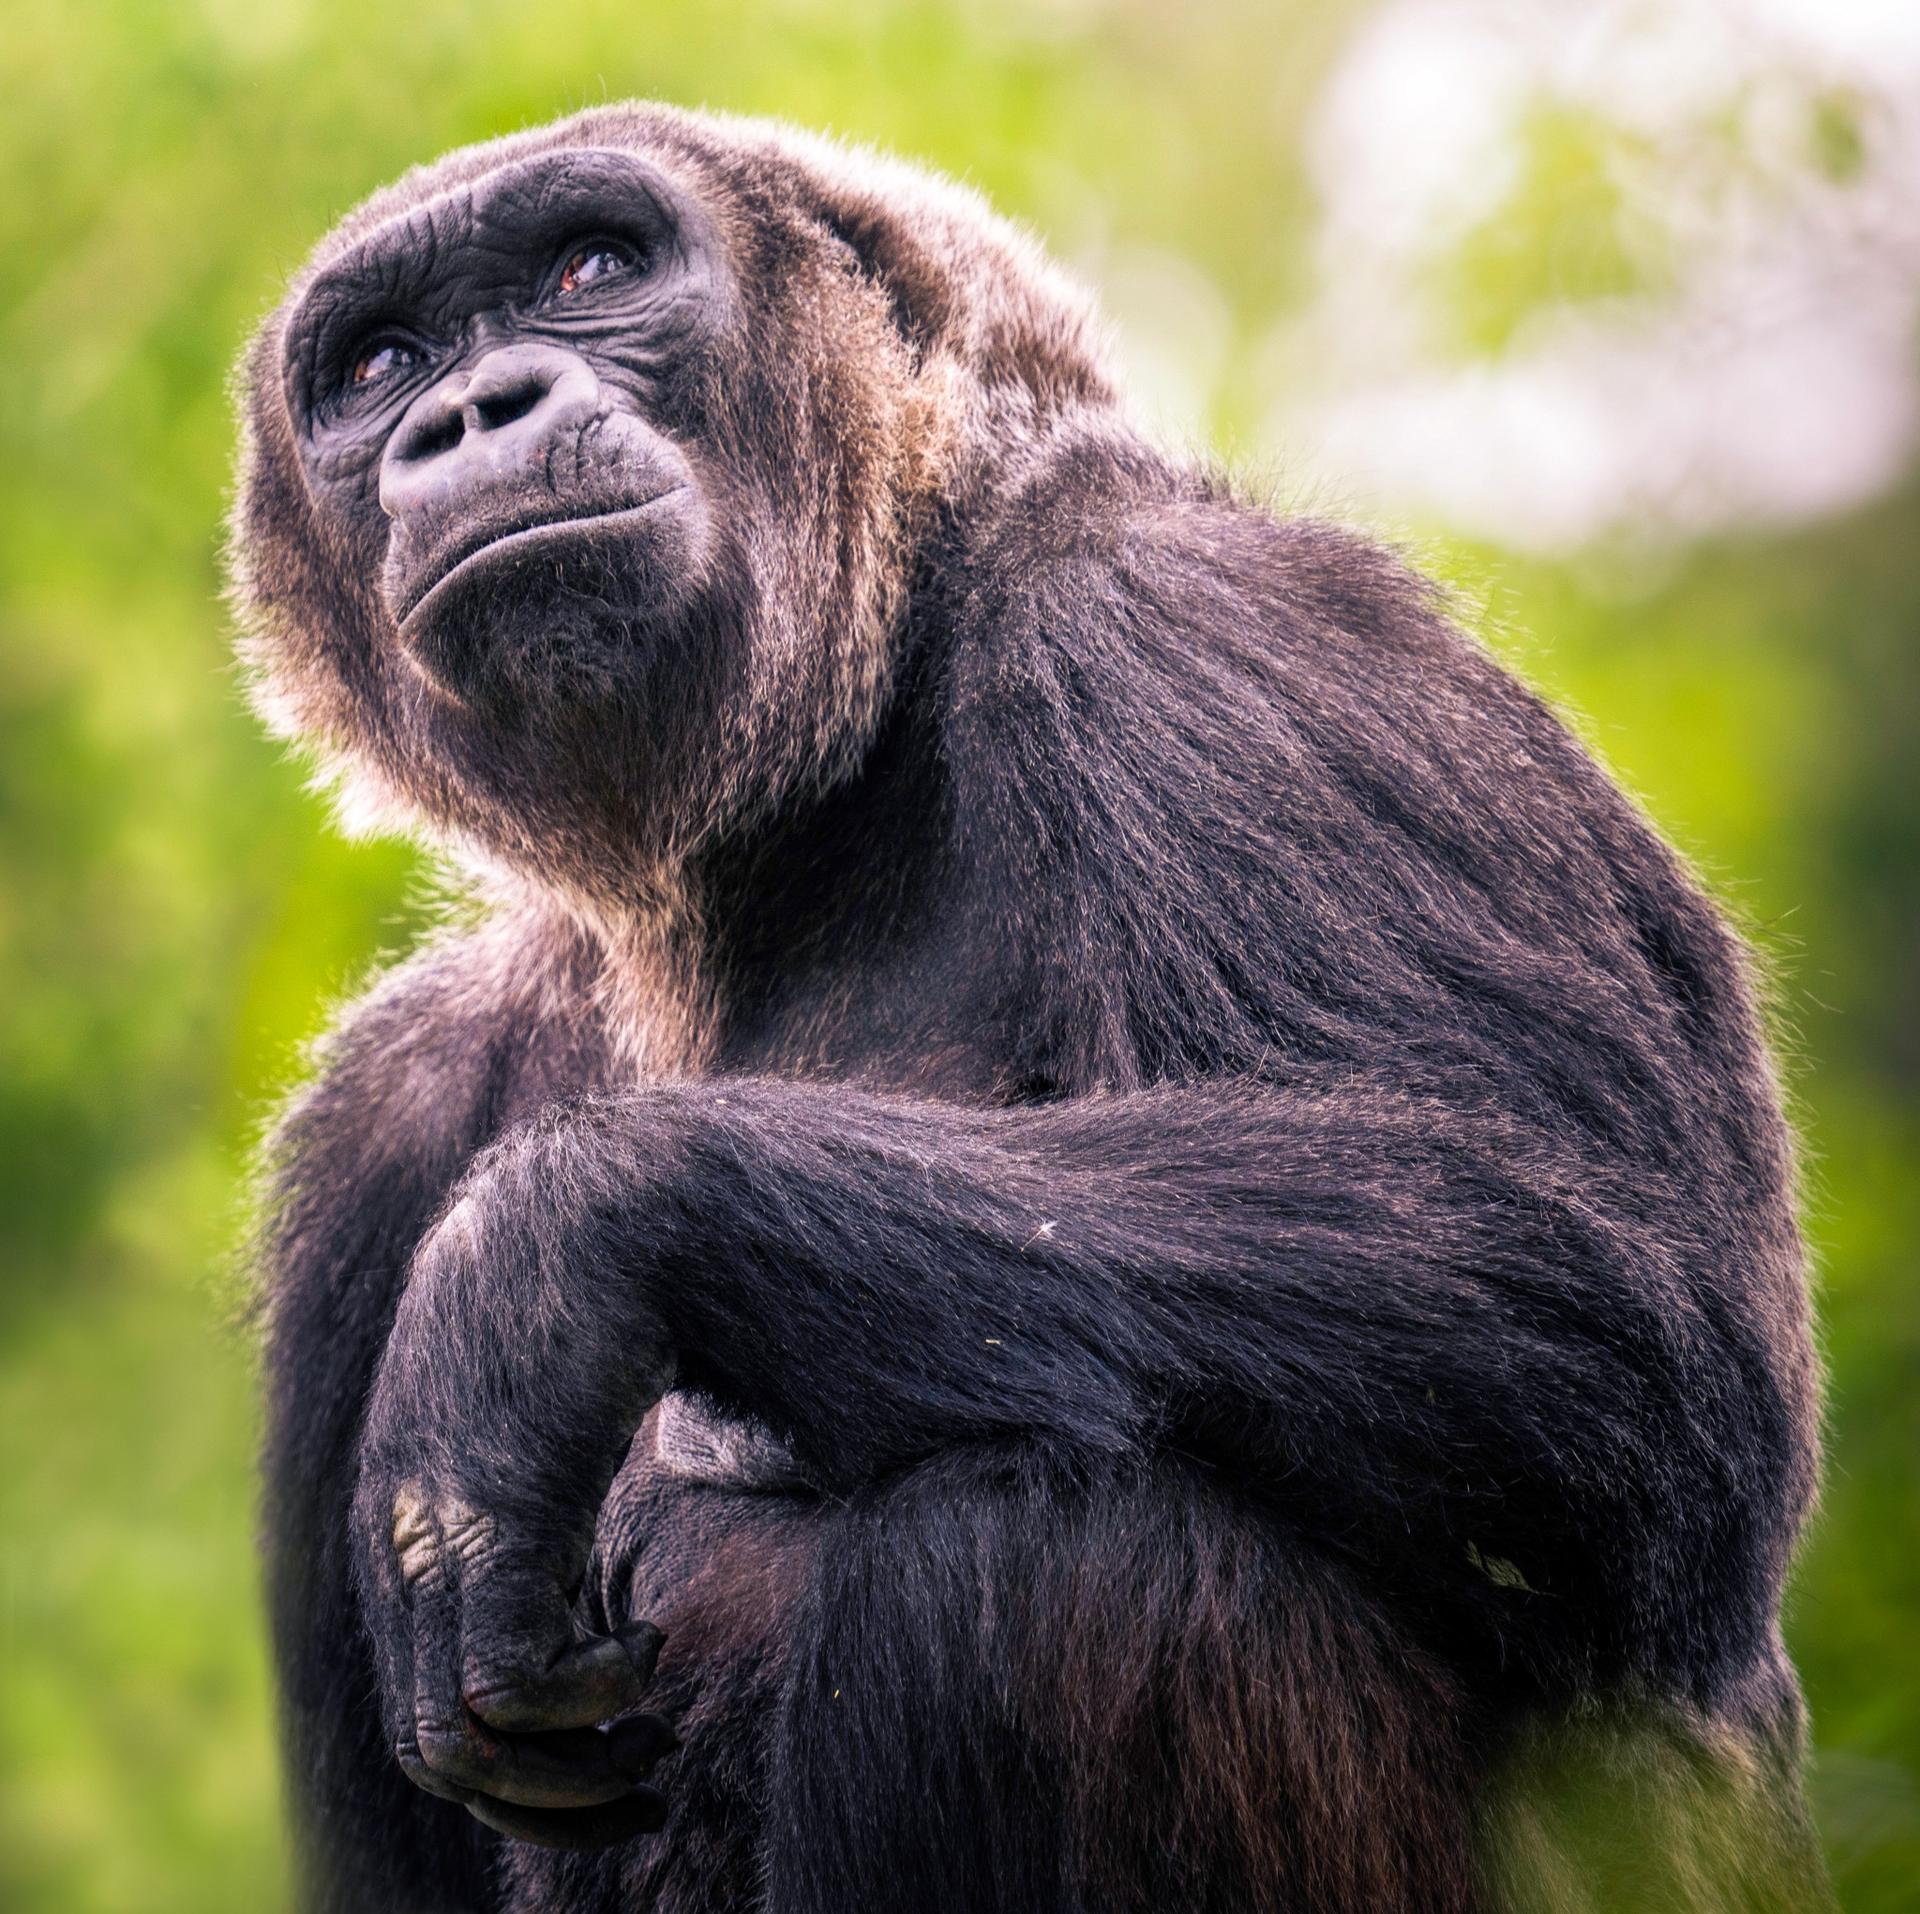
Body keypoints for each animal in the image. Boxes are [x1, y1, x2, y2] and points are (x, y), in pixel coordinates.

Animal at [228, 104, 1832, 1913]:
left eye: (589, 265)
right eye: (380, 363)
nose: (468, 410)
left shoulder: (1206, 630)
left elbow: (1622, 1324)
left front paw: (543, 1266)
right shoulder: (380, 1119)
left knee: (1046, 1559)